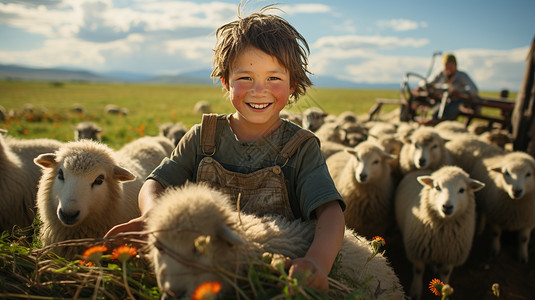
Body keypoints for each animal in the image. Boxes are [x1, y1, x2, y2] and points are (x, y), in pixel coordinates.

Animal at [394, 166, 486, 300]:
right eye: (437, 187)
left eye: (462, 190)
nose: (447, 207)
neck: (442, 234)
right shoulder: (417, 251)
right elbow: (418, 270)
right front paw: (415, 291)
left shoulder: (451, 255)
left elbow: (445, 273)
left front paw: (444, 291)